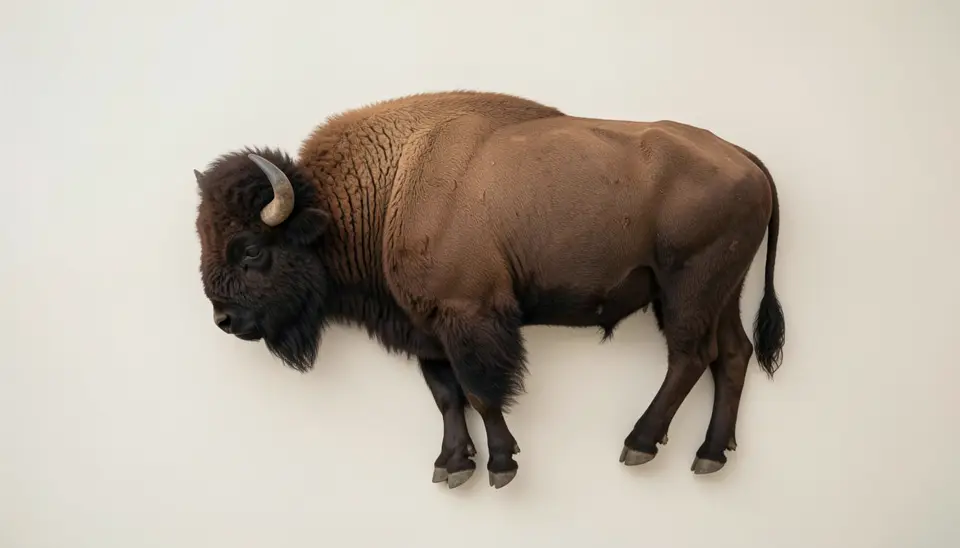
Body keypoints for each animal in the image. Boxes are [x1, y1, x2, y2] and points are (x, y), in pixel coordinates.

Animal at [193, 90, 786, 490]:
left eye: (250, 249)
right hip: (722, 291)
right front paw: (452, 465)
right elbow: (446, 396)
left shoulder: (468, 314)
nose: (224, 320)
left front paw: (502, 464)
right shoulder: (426, 330)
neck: (390, 189)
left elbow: (481, 392)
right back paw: (711, 454)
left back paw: (638, 444)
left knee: (690, 356)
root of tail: (744, 158)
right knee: (733, 354)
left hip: (687, 286)